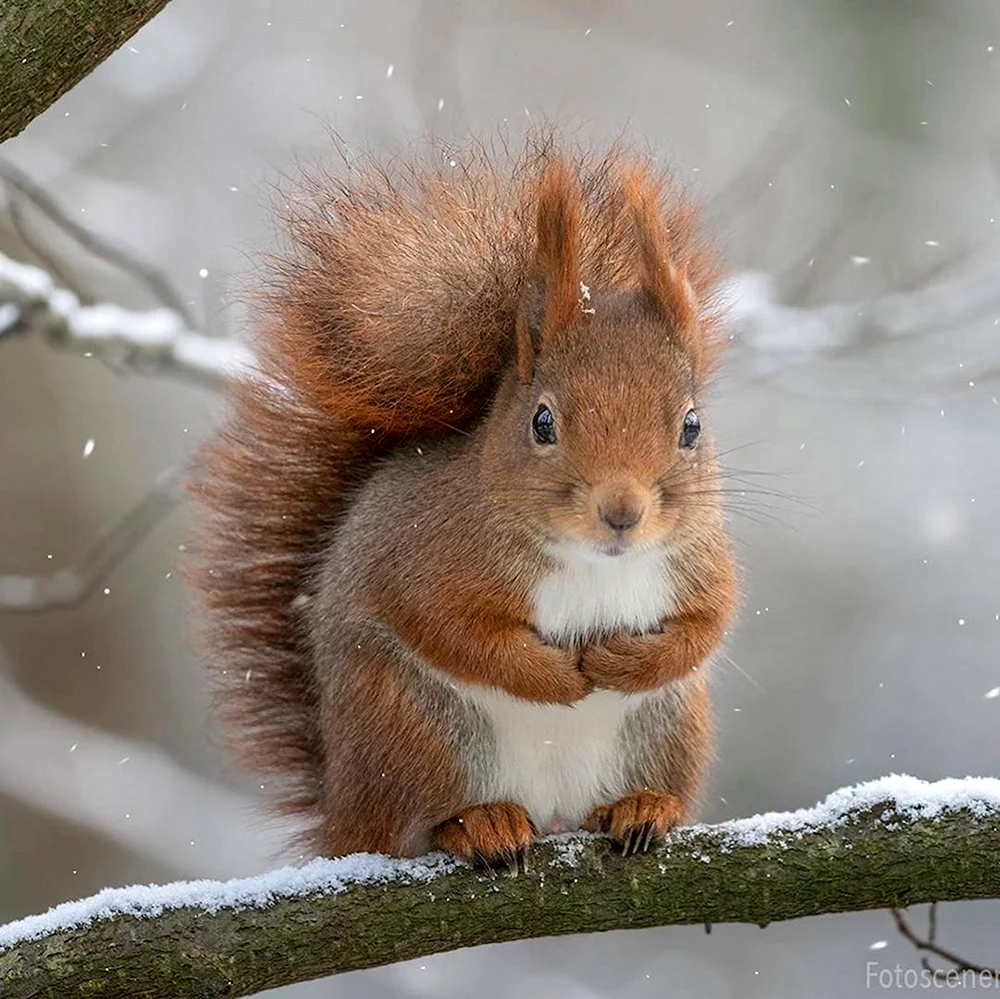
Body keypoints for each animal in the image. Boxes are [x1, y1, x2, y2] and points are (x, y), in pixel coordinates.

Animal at [189, 139, 736, 868]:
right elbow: (454, 630)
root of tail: (341, 816)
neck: (594, 560)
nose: (622, 513)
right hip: (409, 725)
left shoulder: (701, 559)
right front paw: (556, 678)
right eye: (542, 422)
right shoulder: (429, 559)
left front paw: (625, 661)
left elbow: (708, 624)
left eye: (691, 426)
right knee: (417, 821)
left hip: (669, 727)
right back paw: (479, 823)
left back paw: (644, 806)